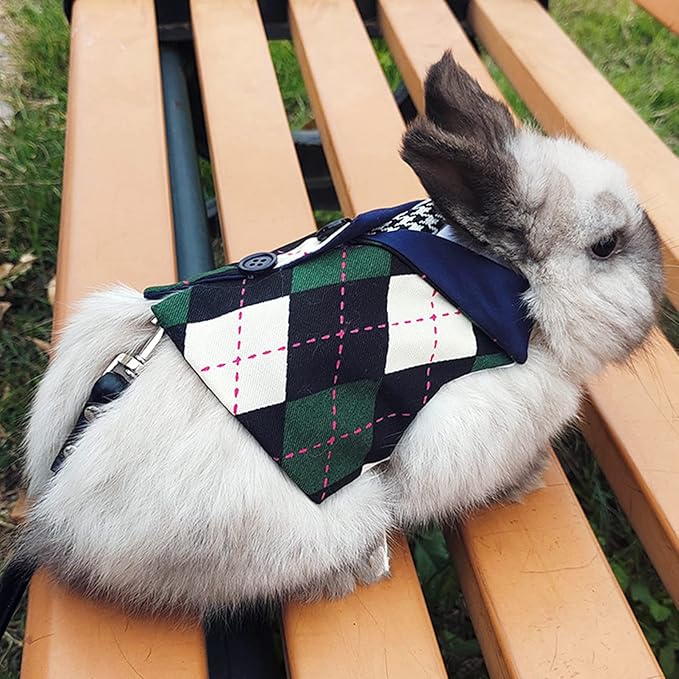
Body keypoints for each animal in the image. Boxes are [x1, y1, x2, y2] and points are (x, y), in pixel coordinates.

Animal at [17, 52, 663, 619]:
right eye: (605, 246)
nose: (662, 287)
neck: (500, 281)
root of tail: (60, 515)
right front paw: (526, 481)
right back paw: (361, 568)